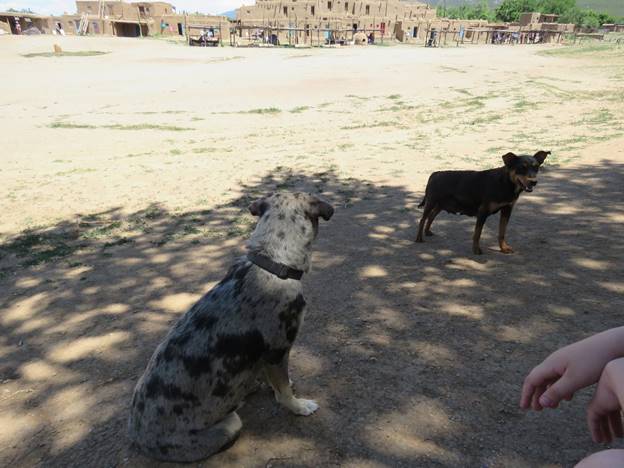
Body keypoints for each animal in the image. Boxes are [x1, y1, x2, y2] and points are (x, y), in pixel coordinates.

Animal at [128, 192, 334, 462]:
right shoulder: (278, 351)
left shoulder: (267, 358)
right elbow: (284, 391)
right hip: (230, 423)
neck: (272, 264)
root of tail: (138, 438)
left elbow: (275, 380)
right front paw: (299, 406)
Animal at [416, 151, 549, 254]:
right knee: (423, 219)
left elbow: (502, 232)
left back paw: (427, 232)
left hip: (440, 204)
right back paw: (419, 238)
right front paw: (476, 250)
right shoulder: (483, 212)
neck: (505, 183)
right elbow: (477, 233)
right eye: (522, 167)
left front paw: (503, 248)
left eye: (536, 167)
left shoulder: (507, 210)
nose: (534, 182)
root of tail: (435, 173)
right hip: (431, 202)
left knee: (431, 216)